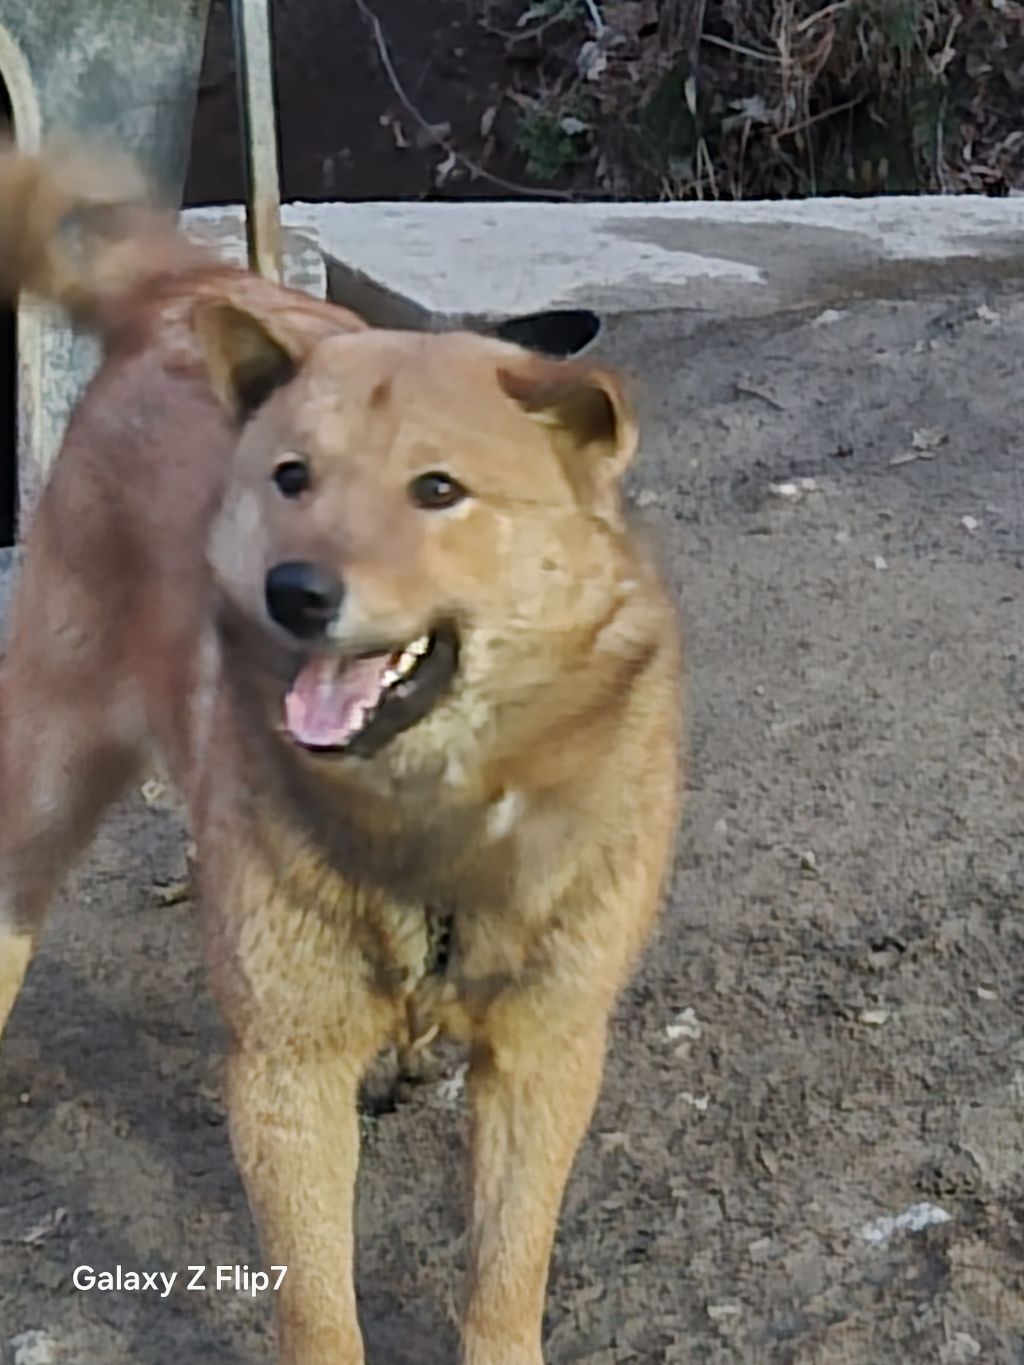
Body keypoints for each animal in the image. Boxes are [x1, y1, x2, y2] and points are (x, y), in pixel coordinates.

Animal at [0, 144, 684, 1364]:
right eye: (291, 477)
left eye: (438, 490)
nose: (297, 592)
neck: (427, 822)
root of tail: (186, 294)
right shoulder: (285, 1073)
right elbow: (318, 1301)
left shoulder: (544, 1055)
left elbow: (504, 1277)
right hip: (43, 778)